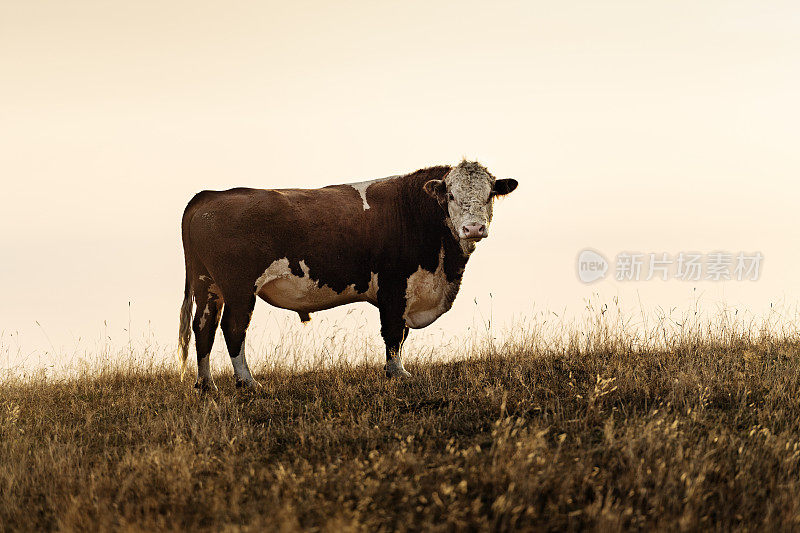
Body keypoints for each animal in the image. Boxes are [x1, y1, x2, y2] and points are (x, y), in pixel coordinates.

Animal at [177, 160, 516, 388]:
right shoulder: (394, 286)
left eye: (490, 194)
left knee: (203, 327)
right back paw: (247, 382)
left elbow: (400, 335)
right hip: (239, 289)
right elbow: (393, 333)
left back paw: (206, 384)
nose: (474, 228)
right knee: (233, 329)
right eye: (451, 196)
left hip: (208, 286)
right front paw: (398, 373)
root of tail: (210, 195)